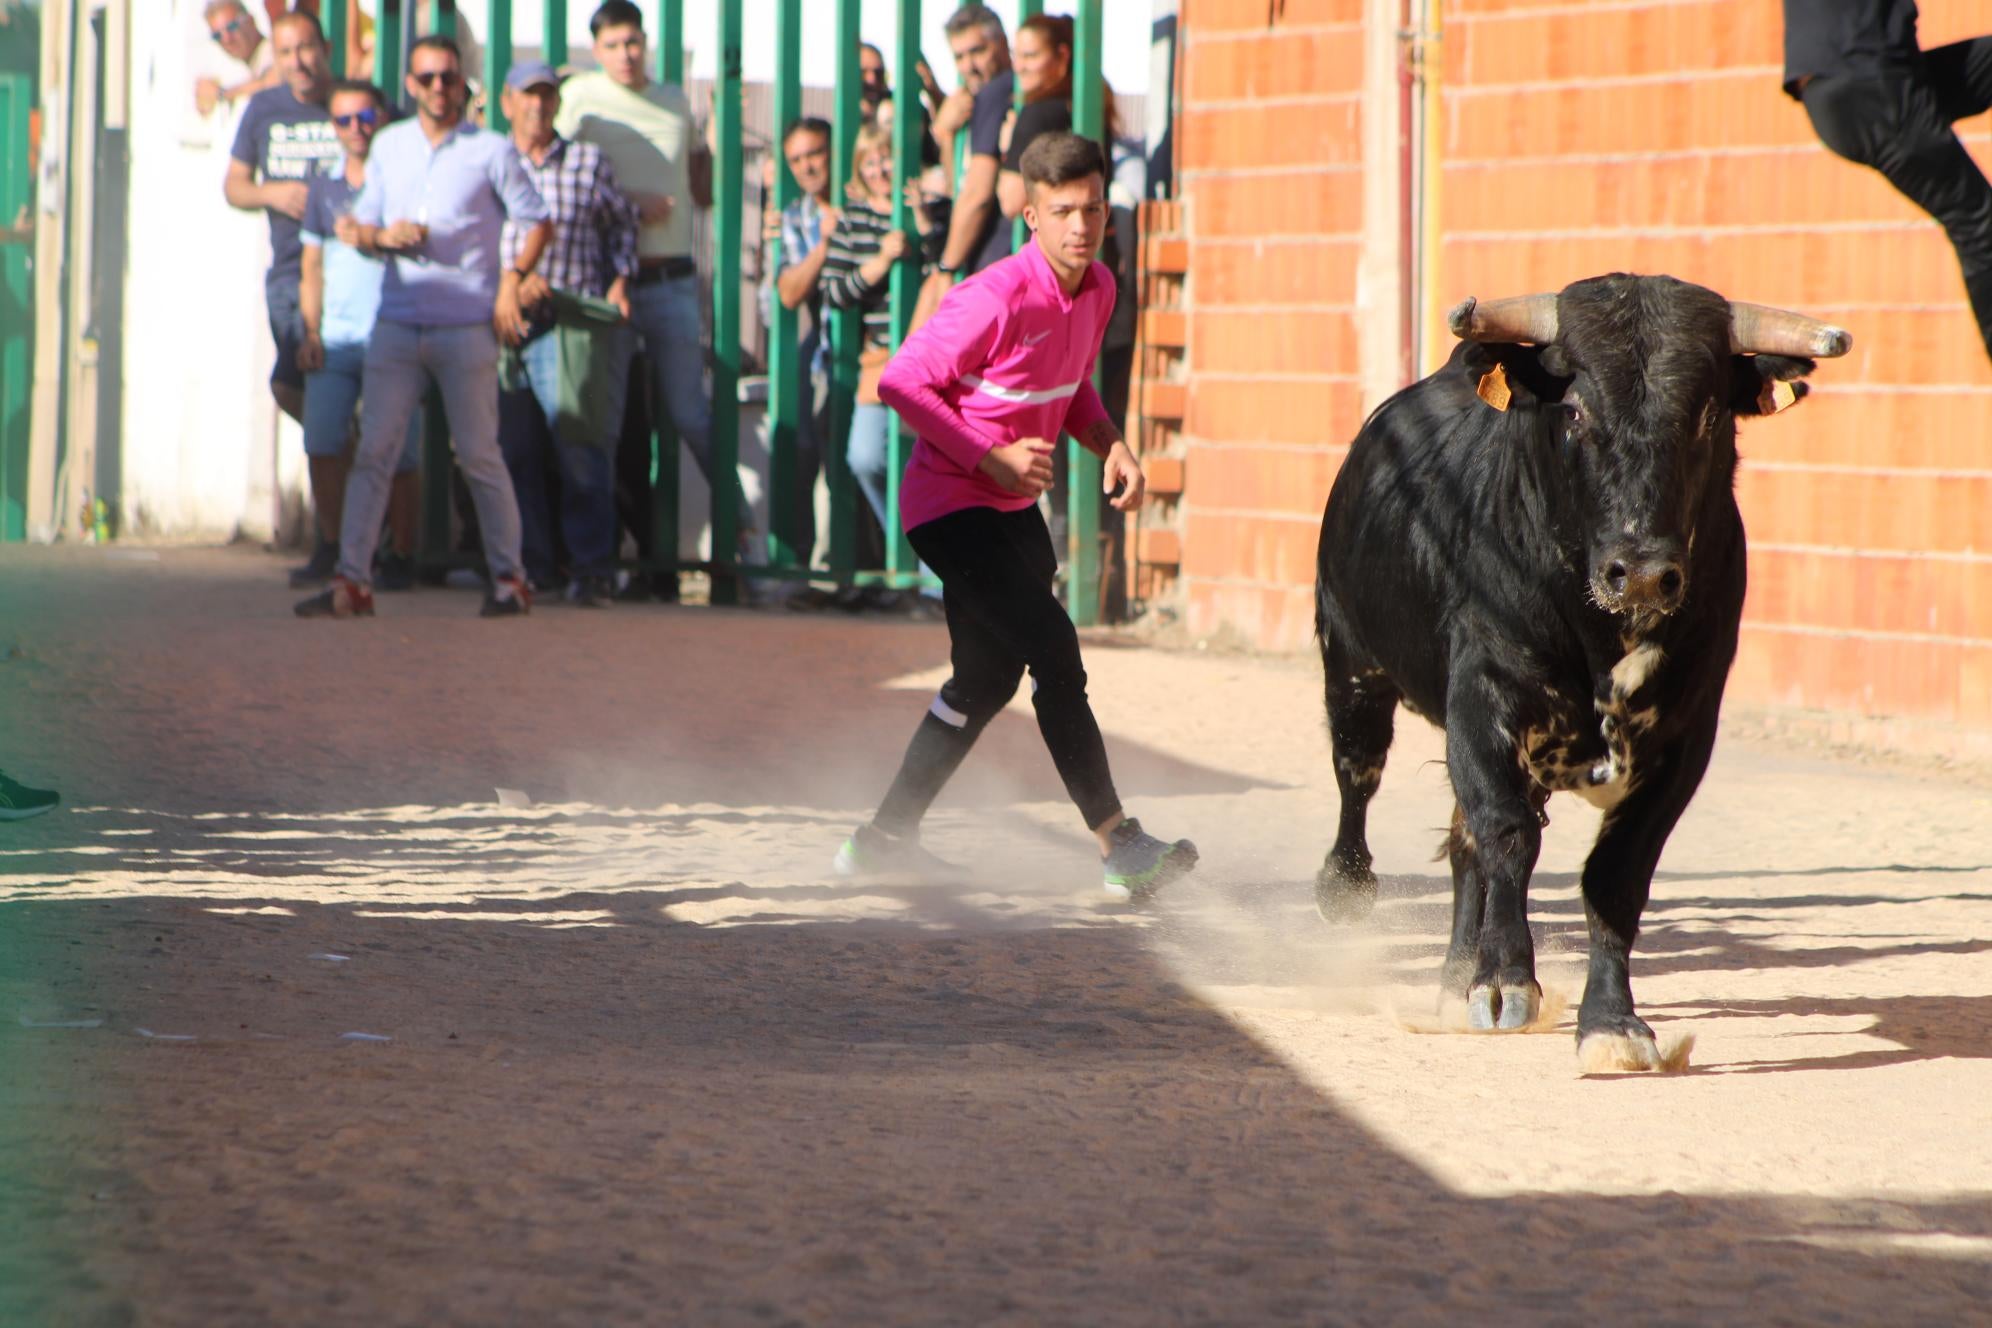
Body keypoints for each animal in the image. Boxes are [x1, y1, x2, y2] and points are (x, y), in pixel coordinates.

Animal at [1306, 270, 1848, 1067]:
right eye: (1577, 410)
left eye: (1707, 414)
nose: (1643, 572)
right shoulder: (1483, 701)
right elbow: (1508, 838)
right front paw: (1504, 983)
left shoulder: (1685, 737)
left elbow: (1614, 874)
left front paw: (1611, 1024)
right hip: (1352, 667)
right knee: (1360, 779)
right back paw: (1349, 893)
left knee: (1463, 842)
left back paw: (1452, 978)